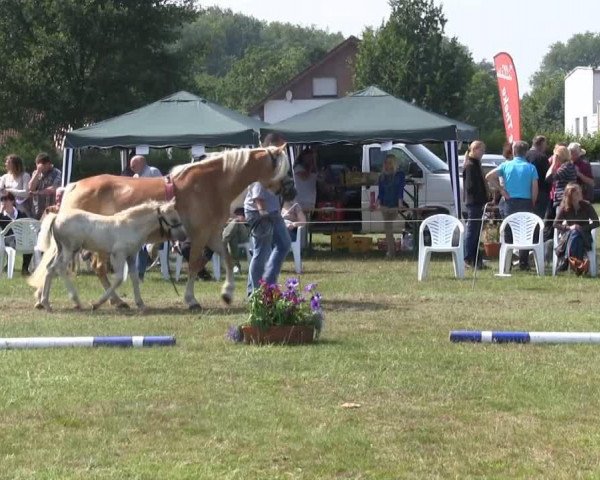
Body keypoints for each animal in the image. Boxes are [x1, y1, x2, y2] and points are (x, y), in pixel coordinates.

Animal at [29, 199, 185, 312]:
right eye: (173, 219)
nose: (183, 237)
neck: (131, 226)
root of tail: (56, 217)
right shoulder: (118, 255)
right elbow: (119, 279)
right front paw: (97, 304)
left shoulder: (131, 256)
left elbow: (134, 278)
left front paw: (140, 304)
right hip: (70, 249)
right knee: (59, 269)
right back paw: (74, 301)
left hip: (62, 250)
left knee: (50, 269)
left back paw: (46, 302)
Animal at [55, 144, 288, 310]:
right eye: (280, 166)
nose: (286, 190)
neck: (210, 184)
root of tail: (73, 186)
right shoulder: (199, 235)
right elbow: (194, 264)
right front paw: (191, 300)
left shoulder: (212, 234)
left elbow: (228, 260)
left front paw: (227, 293)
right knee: (97, 268)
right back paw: (112, 301)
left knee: (98, 269)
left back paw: (116, 301)